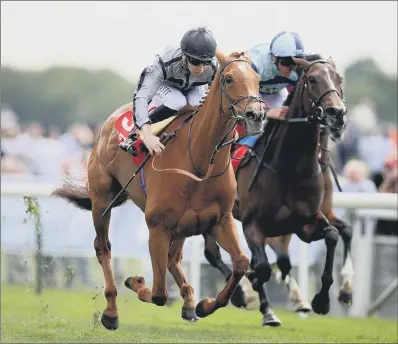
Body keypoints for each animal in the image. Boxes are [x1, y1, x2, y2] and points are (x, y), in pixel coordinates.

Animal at [52, 50, 264, 330]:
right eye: (228, 78)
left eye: (258, 79)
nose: (256, 115)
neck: (198, 159)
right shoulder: (157, 226)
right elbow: (159, 294)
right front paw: (136, 282)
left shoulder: (220, 220)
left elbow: (241, 263)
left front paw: (205, 304)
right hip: (102, 200)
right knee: (103, 247)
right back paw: (111, 311)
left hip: (185, 225)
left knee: (174, 257)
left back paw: (189, 302)